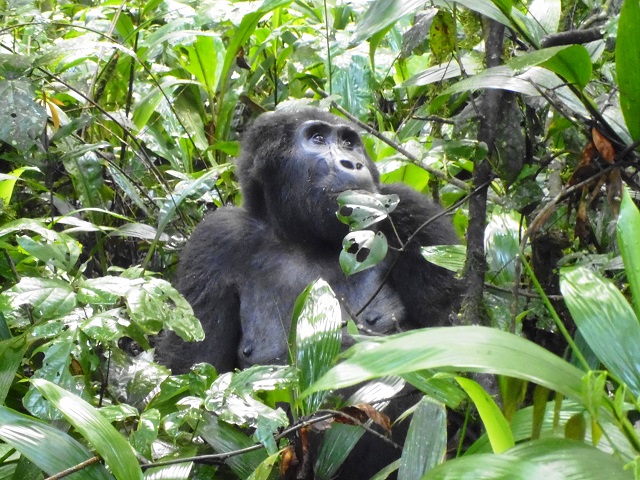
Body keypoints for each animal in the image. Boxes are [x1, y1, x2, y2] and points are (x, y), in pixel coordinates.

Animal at [159, 108, 460, 476]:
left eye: (349, 141)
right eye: (317, 138)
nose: (352, 162)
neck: (302, 237)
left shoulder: (413, 214)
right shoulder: (215, 240)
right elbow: (189, 381)